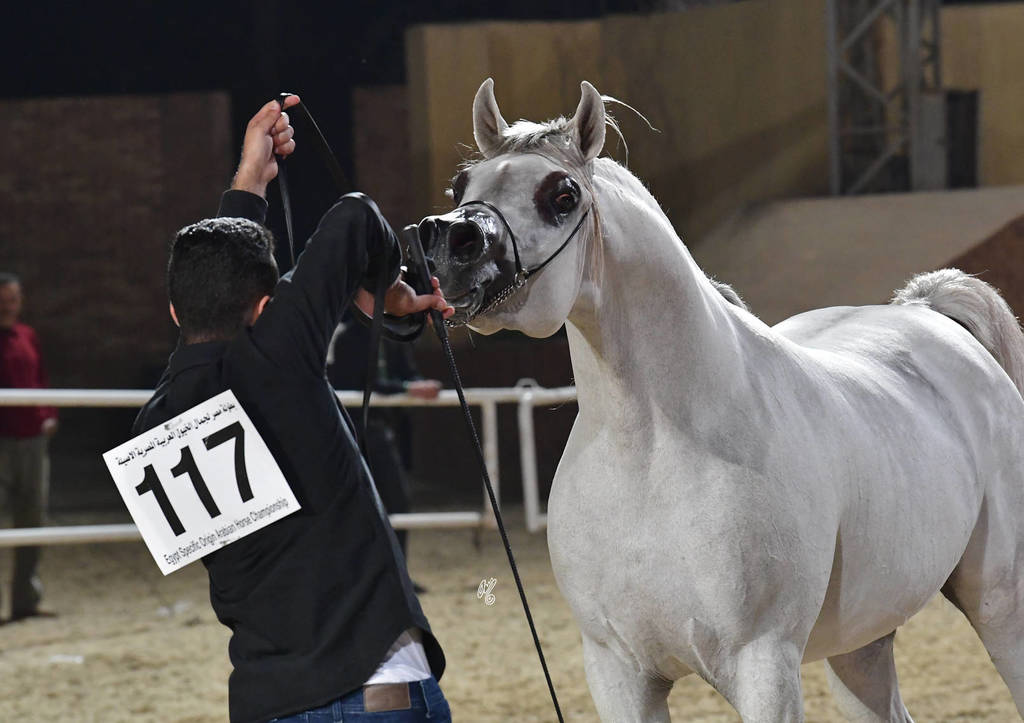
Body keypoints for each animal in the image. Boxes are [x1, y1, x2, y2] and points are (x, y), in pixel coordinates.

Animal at [416, 78, 1024, 722]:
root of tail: (928, 311)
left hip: (1002, 606)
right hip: (862, 641)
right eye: (461, 186)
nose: (450, 240)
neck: (650, 453)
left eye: (562, 194)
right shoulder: (617, 671)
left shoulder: (764, 662)